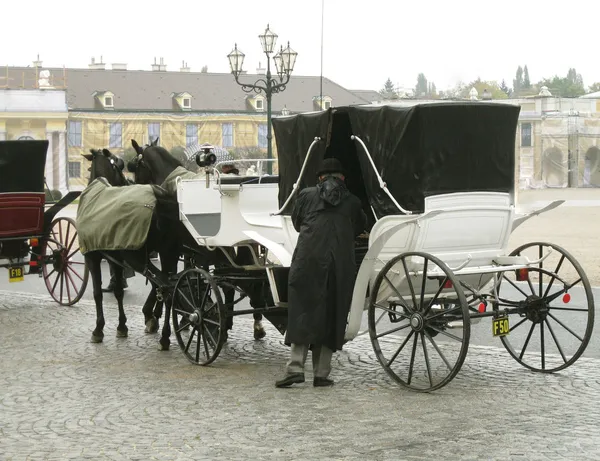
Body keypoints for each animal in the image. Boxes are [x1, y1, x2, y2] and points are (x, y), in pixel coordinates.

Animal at [81, 147, 180, 348]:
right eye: (119, 166)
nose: (128, 182)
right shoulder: (115, 259)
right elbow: (118, 292)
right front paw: (121, 326)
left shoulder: (92, 257)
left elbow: (97, 293)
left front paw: (98, 329)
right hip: (168, 254)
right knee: (169, 287)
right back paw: (165, 333)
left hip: (138, 258)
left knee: (166, 287)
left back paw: (163, 332)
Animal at [129, 138, 270, 340]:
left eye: (135, 166)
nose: (134, 185)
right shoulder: (190, 251)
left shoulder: (171, 249)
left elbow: (165, 280)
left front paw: (155, 315)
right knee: (250, 281)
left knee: (239, 282)